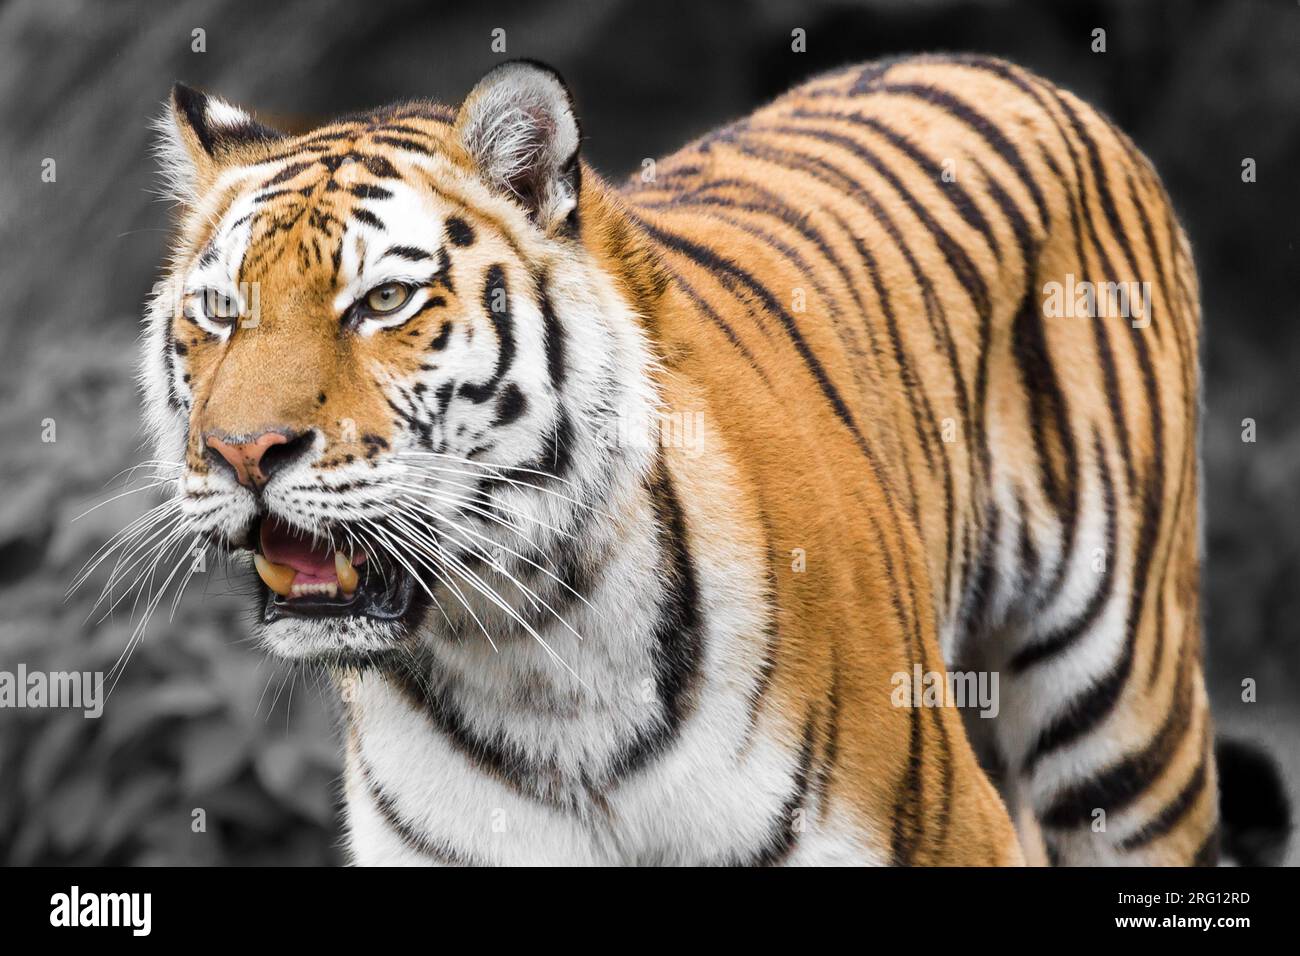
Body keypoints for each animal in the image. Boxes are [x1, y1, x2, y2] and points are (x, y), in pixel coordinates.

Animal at [139, 48, 1216, 863]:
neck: (531, 666)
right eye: (220, 311)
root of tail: (1004, 68)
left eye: (383, 302)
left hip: (1128, 720)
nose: (243, 452)